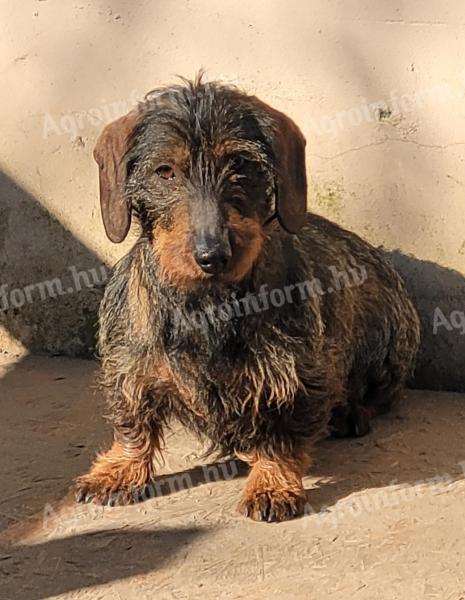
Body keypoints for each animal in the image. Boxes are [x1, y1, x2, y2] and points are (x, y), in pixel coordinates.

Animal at [74, 75, 418, 524]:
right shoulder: (129, 368)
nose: (212, 255)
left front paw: (272, 482)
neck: (208, 305)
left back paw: (349, 413)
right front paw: (119, 469)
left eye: (239, 164)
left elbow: (281, 435)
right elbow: (133, 422)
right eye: (164, 171)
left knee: (380, 397)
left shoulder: (296, 377)